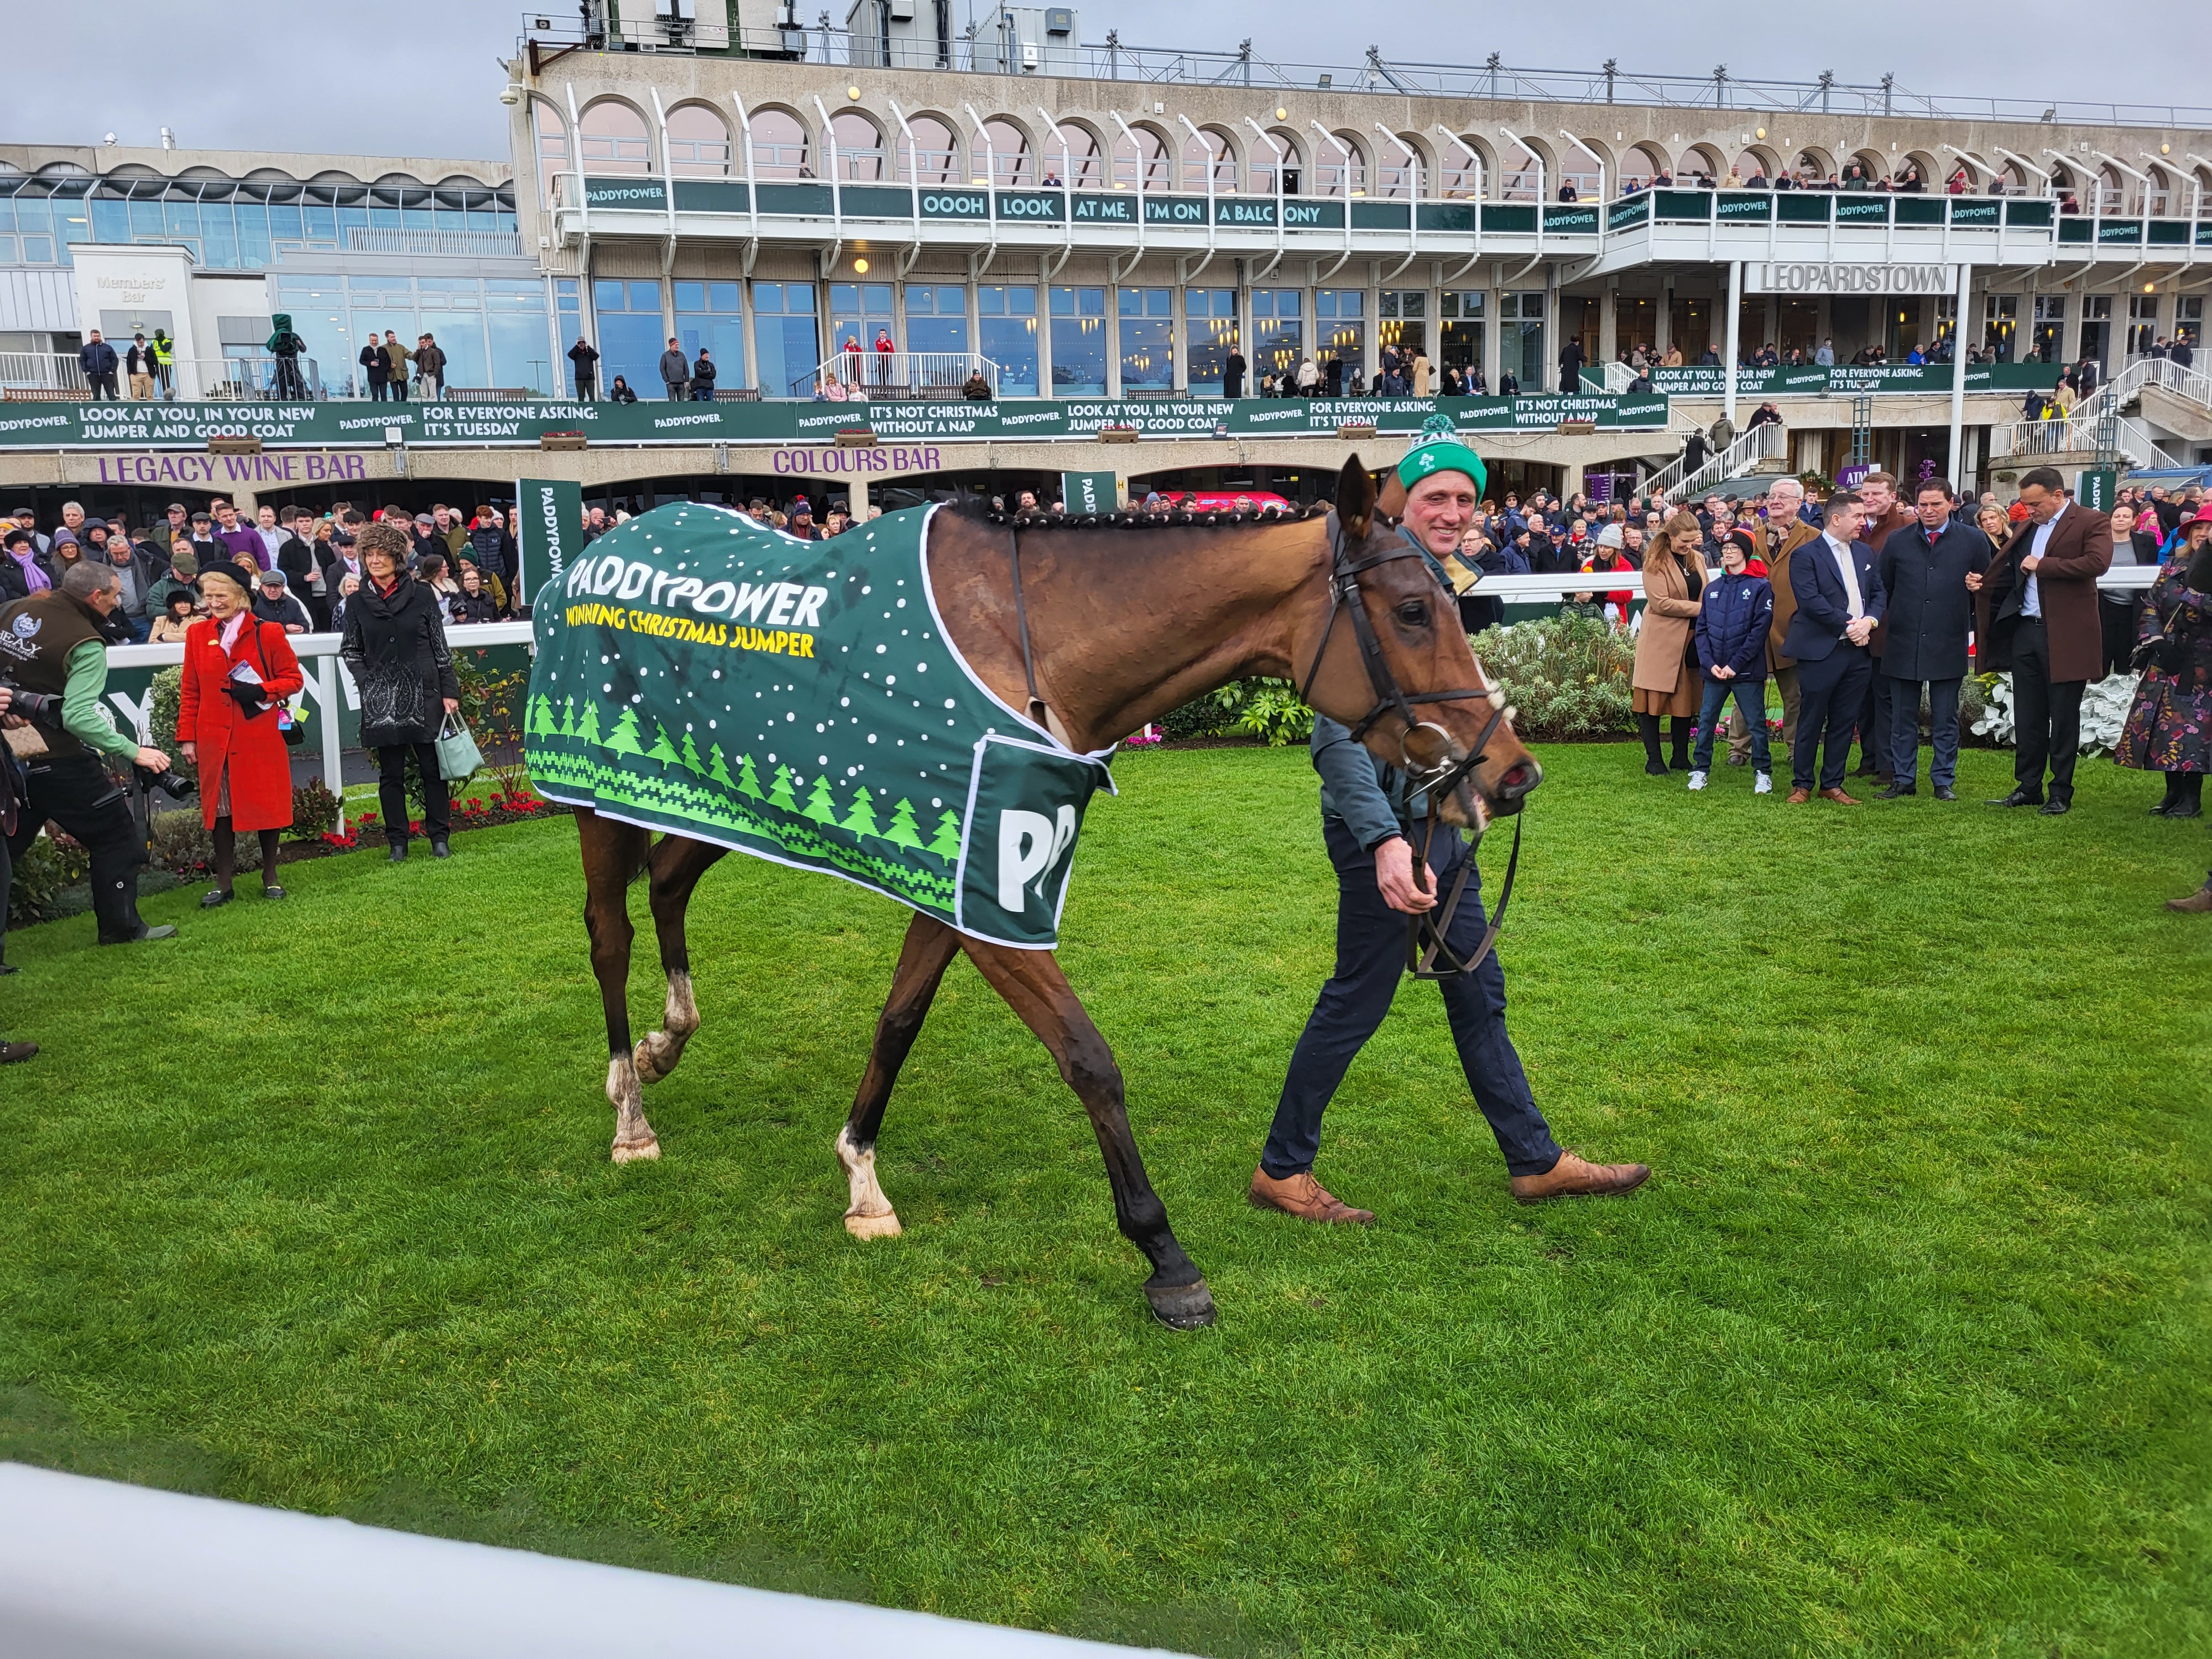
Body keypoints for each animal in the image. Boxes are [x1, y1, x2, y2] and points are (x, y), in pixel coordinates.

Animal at [571, 462, 1540, 1336]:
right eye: (1413, 609)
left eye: (1453, 599)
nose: (1513, 772)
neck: (1022, 646)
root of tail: (591, 551)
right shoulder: (999, 901)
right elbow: (1088, 1058)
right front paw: (1166, 1258)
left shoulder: (956, 878)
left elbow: (899, 1020)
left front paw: (862, 1177)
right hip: (600, 799)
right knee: (609, 933)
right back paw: (630, 1109)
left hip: (717, 795)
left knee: (668, 881)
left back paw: (668, 1039)